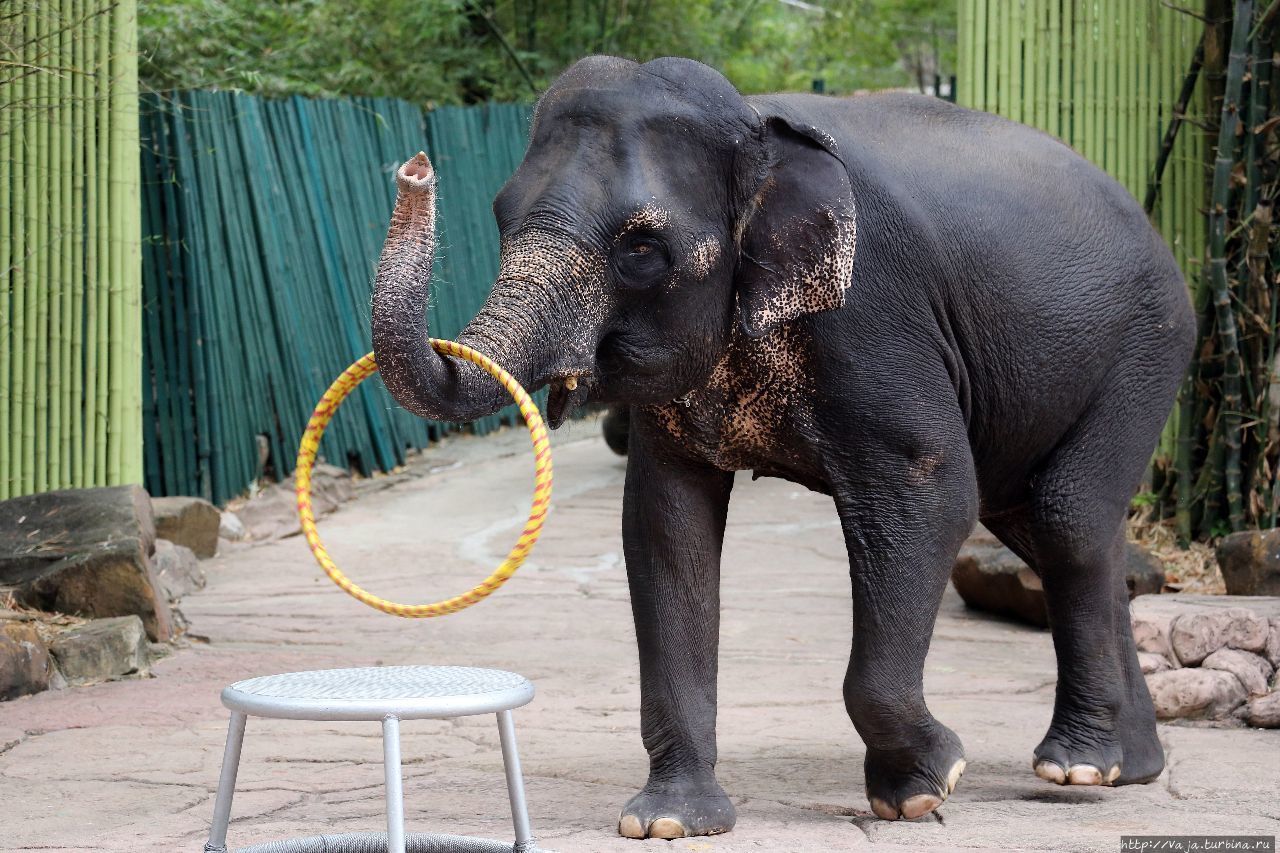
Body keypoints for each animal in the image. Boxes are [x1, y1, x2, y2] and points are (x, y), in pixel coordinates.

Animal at [368, 58, 1187, 835]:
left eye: (641, 248)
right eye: (502, 216)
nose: (414, 171)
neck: (754, 124)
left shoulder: (875, 313)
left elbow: (929, 492)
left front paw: (926, 788)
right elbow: (665, 527)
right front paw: (668, 821)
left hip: (1145, 346)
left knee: (1065, 518)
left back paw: (1078, 768)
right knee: (1049, 530)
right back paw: (1131, 767)